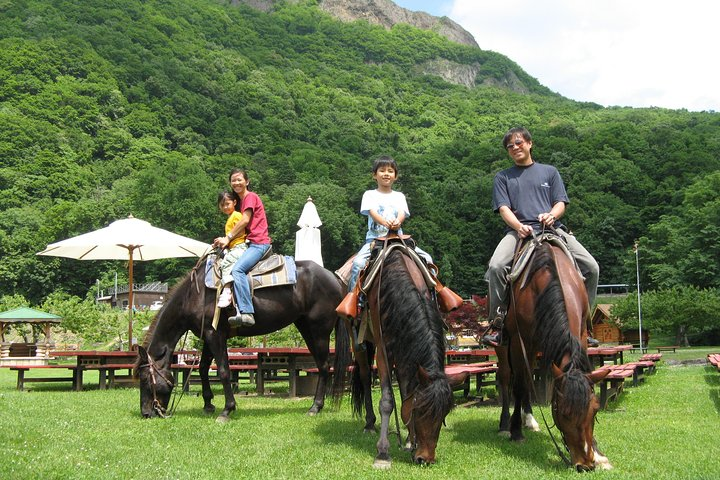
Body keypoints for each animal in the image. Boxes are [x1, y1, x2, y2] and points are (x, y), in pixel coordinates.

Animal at [136, 256, 350, 422]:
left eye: (145, 378)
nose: (146, 413)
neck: (194, 295)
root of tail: (335, 279)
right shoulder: (208, 336)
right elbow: (203, 368)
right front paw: (208, 404)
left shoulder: (215, 335)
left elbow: (223, 370)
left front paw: (227, 409)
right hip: (306, 328)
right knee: (321, 366)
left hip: (319, 331)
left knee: (324, 366)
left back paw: (315, 407)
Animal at [332, 242, 450, 466]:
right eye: (420, 410)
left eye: (444, 414)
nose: (425, 459)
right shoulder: (383, 351)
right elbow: (387, 400)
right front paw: (383, 453)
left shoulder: (404, 349)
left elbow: (406, 393)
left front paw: (408, 441)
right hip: (359, 341)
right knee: (365, 376)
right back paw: (369, 424)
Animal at [498, 234, 612, 470]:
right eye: (564, 413)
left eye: (595, 410)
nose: (585, 464)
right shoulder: (520, 342)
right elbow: (519, 386)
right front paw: (515, 432)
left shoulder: (580, 336)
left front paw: (598, 453)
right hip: (505, 347)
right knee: (507, 379)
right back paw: (505, 424)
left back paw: (530, 419)